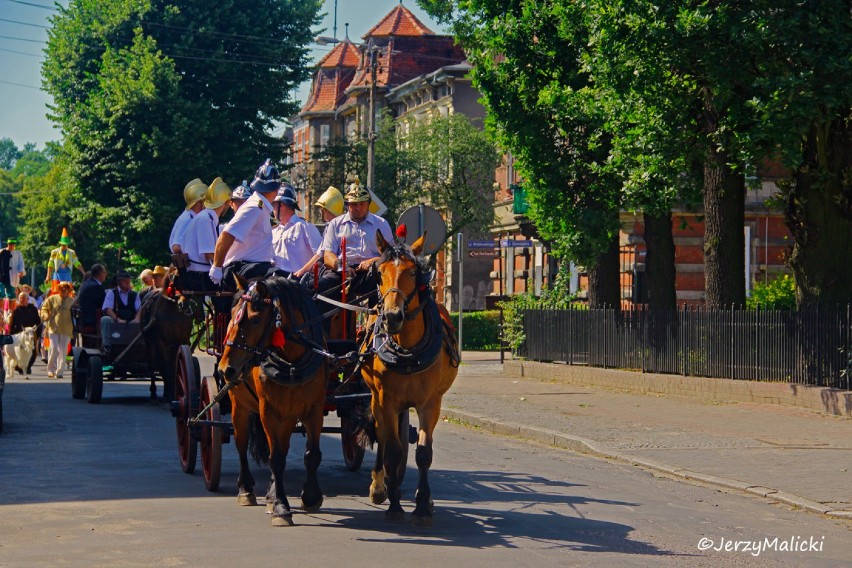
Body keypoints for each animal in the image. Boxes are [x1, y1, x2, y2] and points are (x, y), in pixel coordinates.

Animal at [218, 272, 328, 524]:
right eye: (232, 313)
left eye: (256, 319)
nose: (226, 369)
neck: (292, 362)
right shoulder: (269, 411)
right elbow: (275, 458)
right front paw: (280, 506)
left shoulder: (314, 408)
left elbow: (311, 454)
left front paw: (311, 496)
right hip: (240, 406)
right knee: (242, 443)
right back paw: (246, 489)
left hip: (288, 415)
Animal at [356, 233, 460, 524]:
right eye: (380, 273)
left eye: (413, 272)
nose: (392, 317)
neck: (408, 350)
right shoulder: (385, 400)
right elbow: (392, 450)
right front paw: (393, 504)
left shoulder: (430, 403)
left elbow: (424, 452)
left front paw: (423, 504)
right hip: (377, 400)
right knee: (383, 437)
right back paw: (380, 486)